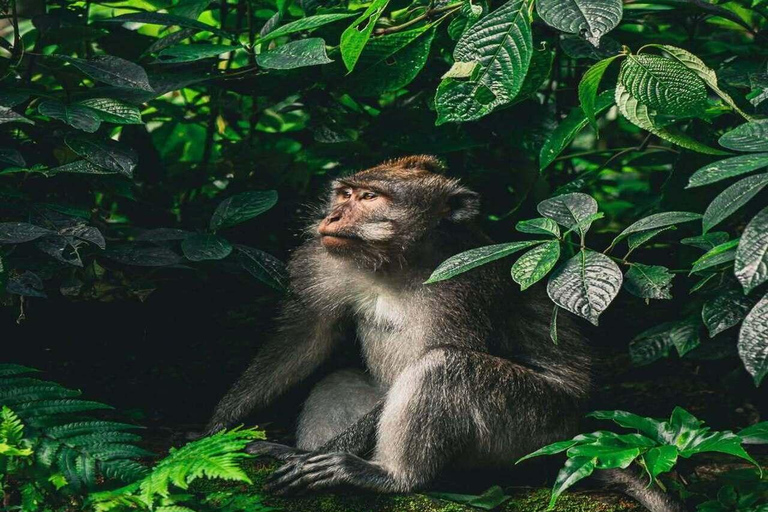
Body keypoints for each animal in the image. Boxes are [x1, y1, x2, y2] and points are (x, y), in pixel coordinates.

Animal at [204, 156, 682, 512]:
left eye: (370, 197)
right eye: (345, 194)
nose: (332, 216)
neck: (398, 262)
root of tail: (572, 432)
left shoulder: (463, 285)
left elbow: (447, 351)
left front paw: (299, 457)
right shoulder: (326, 263)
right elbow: (305, 339)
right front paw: (214, 433)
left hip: (535, 429)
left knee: (445, 365)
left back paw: (388, 476)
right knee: (339, 379)